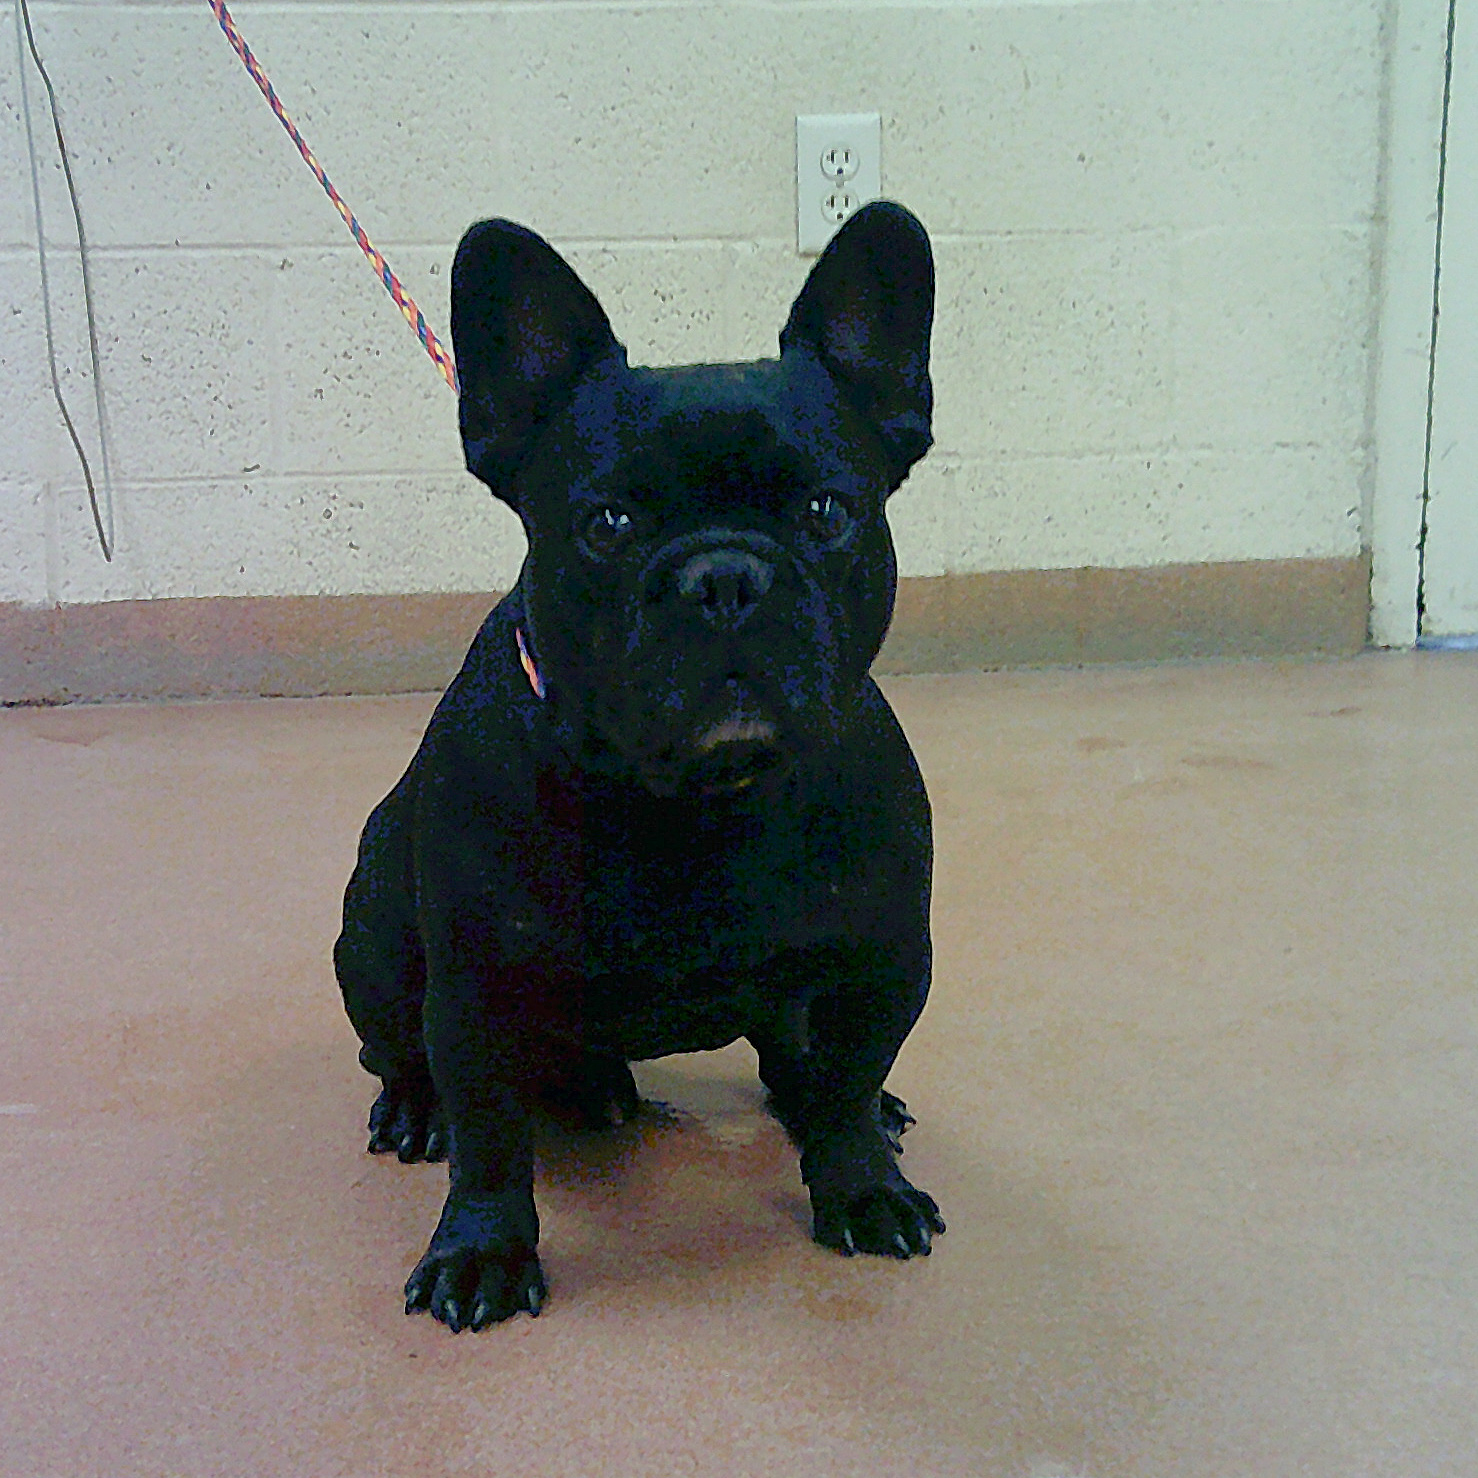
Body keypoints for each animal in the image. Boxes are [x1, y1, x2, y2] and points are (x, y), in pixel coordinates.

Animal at [334, 200, 943, 1330]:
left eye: (827, 513)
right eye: (607, 523)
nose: (724, 577)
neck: (694, 801)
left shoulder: (882, 960)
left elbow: (845, 1081)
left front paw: (859, 1180)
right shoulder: (477, 991)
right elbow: (490, 1140)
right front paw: (480, 1250)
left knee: (801, 1057)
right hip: (372, 947)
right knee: (399, 1051)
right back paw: (420, 1106)